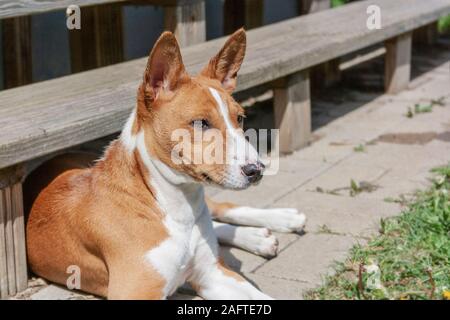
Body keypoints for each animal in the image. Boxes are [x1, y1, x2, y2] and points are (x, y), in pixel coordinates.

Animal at [25, 28, 306, 300]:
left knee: (221, 208)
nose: (256, 170)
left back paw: (282, 220)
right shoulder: (137, 290)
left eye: (240, 118)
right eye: (201, 123)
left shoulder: (212, 274)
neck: (175, 206)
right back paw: (259, 237)